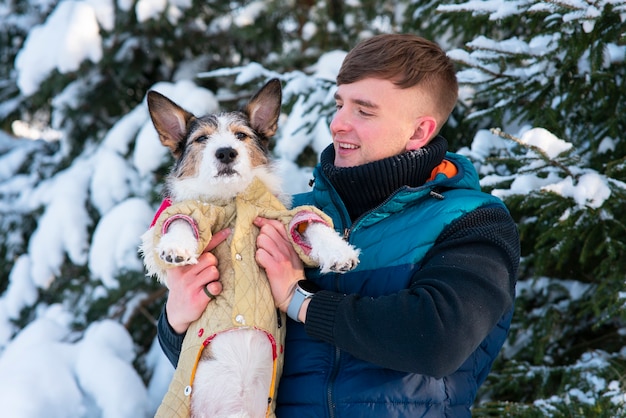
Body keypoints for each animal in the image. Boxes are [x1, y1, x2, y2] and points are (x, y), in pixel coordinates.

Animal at [139, 79, 358, 418]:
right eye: (202, 139)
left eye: (241, 135)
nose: (226, 152)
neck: (232, 199)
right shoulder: (197, 211)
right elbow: (181, 220)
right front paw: (175, 246)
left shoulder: (281, 218)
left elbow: (310, 224)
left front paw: (339, 252)